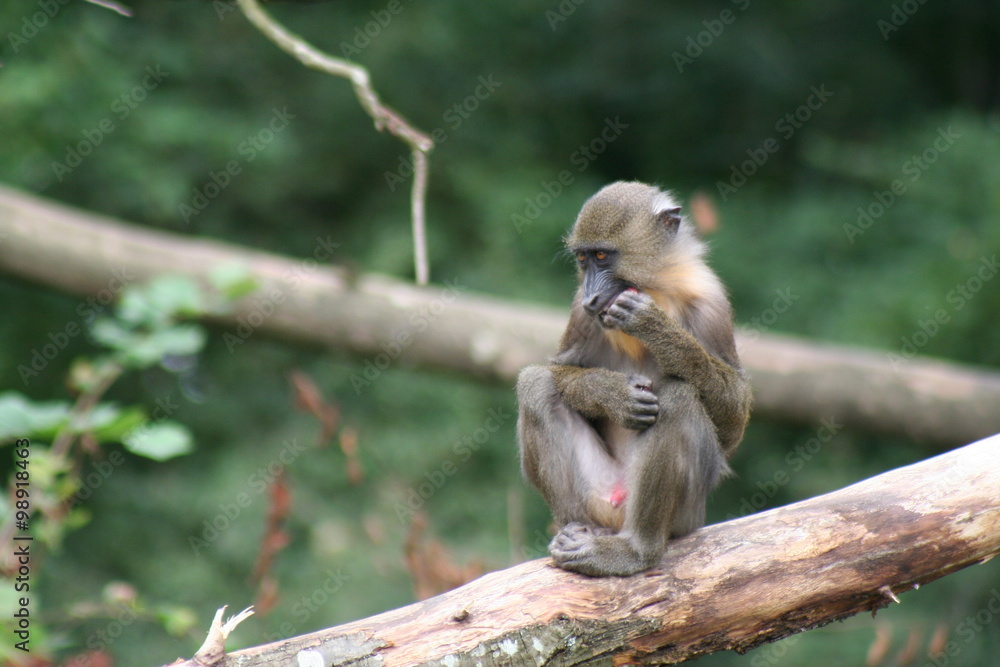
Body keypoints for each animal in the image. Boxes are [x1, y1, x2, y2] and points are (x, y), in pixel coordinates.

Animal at [516, 181, 751, 577]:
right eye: (583, 259)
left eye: (602, 256)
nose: (592, 297)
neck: (656, 287)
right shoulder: (580, 314)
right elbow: (558, 370)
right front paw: (615, 396)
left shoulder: (712, 304)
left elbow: (733, 419)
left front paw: (654, 326)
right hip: (597, 491)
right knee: (536, 385)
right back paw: (577, 531)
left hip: (687, 514)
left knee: (678, 397)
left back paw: (636, 550)